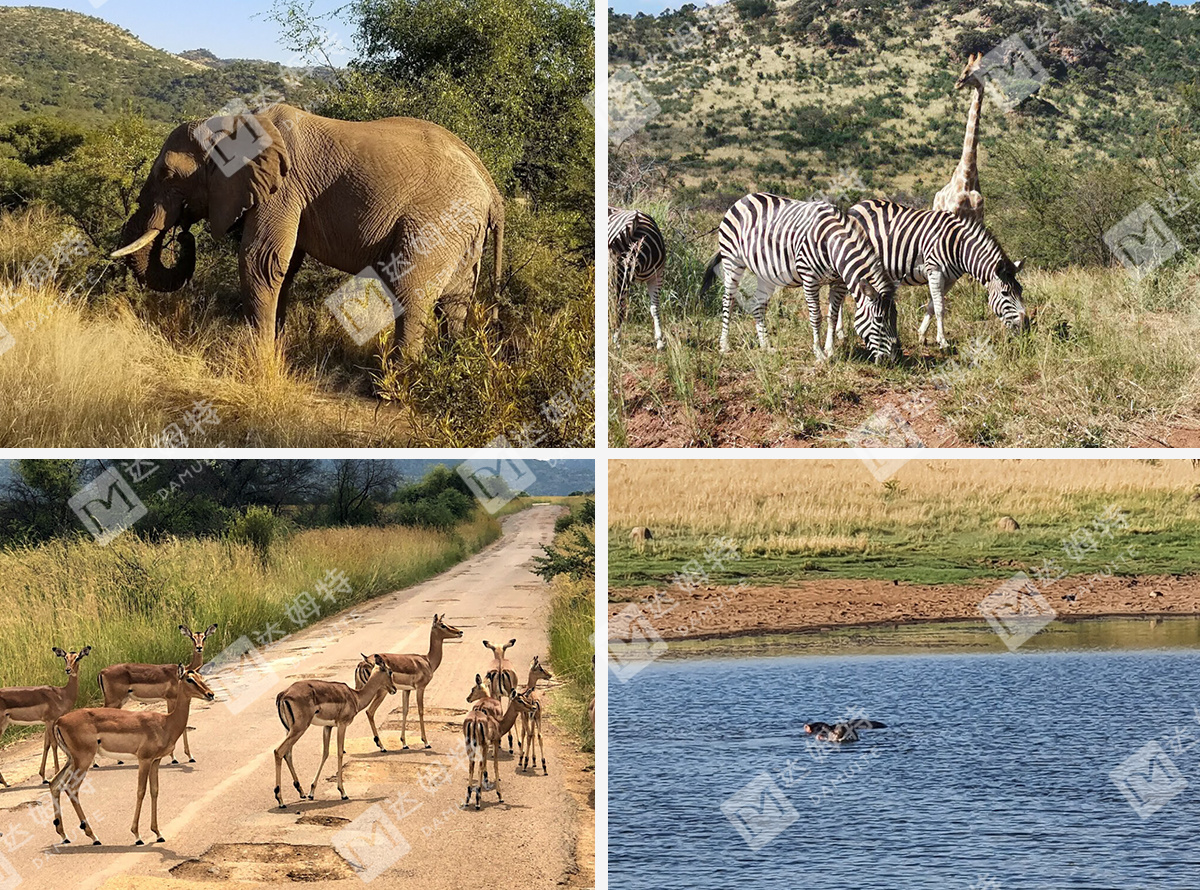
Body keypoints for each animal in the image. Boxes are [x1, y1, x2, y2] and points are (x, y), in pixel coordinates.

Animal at [110, 102, 504, 357]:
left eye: (168, 175)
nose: (184, 234)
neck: (234, 123)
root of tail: (491, 188)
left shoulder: (283, 189)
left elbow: (261, 261)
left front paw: (259, 357)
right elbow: (283, 269)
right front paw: (276, 347)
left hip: (438, 220)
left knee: (412, 292)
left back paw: (393, 388)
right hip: (461, 230)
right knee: (454, 301)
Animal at [696, 193, 902, 364]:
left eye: (895, 317)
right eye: (879, 320)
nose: (893, 359)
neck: (832, 245)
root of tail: (743, 198)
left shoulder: (838, 283)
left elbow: (833, 316)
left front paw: (830, 350)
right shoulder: (810, 280)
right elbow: (816, 316)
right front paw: (819, 353)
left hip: (765, 274)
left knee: (758, 304)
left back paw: (766, 346)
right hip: (732, 261)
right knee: (728, 301)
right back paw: (724, 345)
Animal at [840, 199, 1027, 347]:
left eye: (1021, 290)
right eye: (1005, 293)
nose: (1026, 327)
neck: (959, 246)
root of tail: (856, 205)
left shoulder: (950, 278)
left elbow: (931, 305)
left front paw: (922, 335)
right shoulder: (935, 271)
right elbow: (940, 308)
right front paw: (942, 341)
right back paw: (840, 333)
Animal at [931, 53, 988, 223]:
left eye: (978, 70)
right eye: (965, 68)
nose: (958, 83)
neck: (967, 176)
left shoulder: (979, 219)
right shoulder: (954, 214)